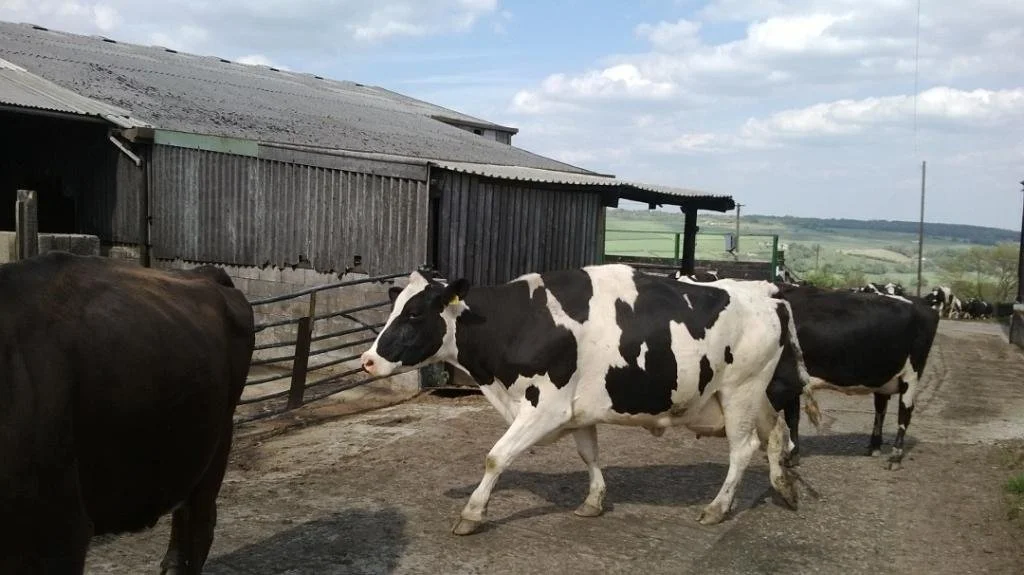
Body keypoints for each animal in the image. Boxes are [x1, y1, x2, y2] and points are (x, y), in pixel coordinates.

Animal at [361, 264, 819, 535]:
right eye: (395, 310)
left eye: (415, 314)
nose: (367, 361)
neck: (518, 322)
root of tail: (768, 295)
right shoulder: (578, 411)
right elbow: (589, 455)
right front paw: (594, 501)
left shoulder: (546, 407)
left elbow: (496, 456)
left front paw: (472, 513)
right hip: (752, 393)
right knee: (776, 433)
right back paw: (784, 487)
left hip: (740, 389)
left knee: (744, 448)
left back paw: (718, 508)